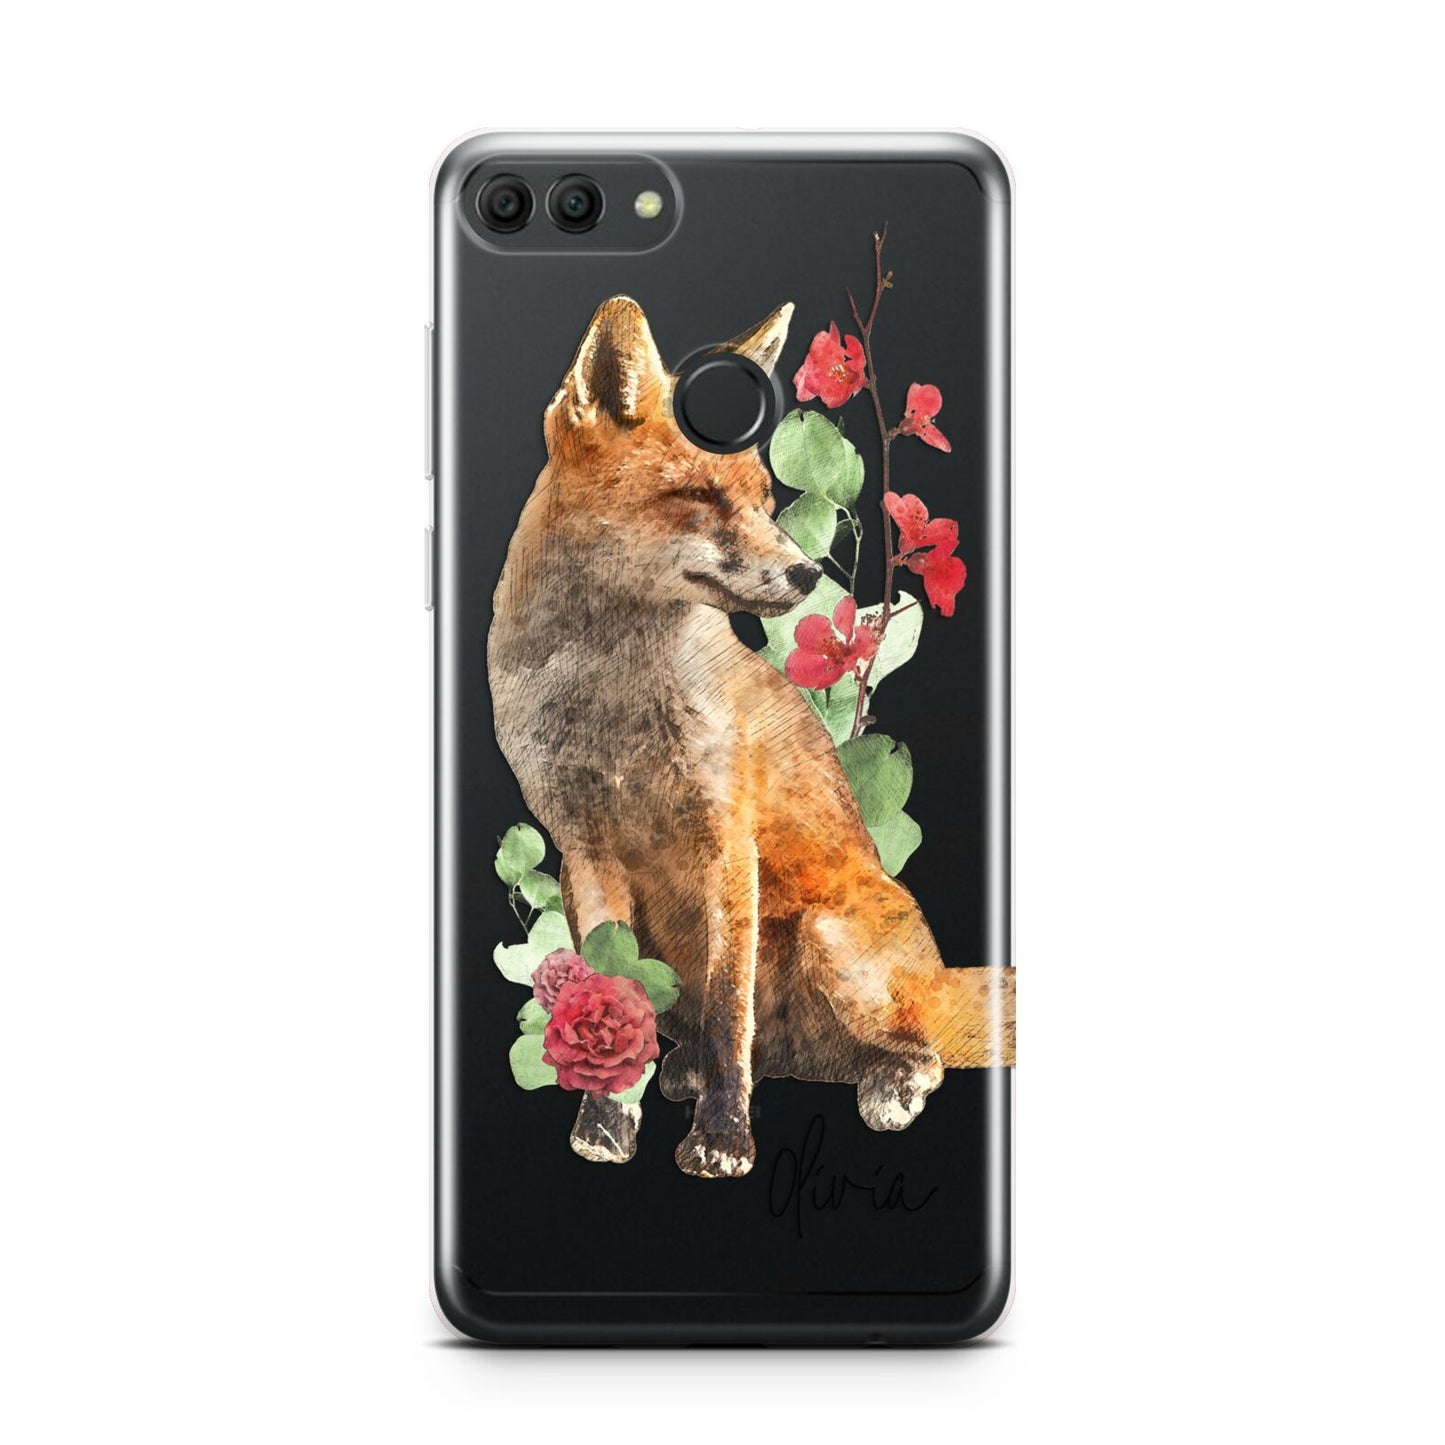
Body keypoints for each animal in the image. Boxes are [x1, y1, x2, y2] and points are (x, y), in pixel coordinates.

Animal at [487, 295, 1015, 1180]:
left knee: (915, 1048)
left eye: (767, 497)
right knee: (745, 1042)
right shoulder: (583, 854)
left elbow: (730, 1010)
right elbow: (610, 993)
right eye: (699, 494)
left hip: (828, 939)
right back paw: (683, 1069)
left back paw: (887, 1085)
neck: (610, 702)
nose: (806, 576)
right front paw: (607, 1120)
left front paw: (723, 1137)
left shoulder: (727, 844)